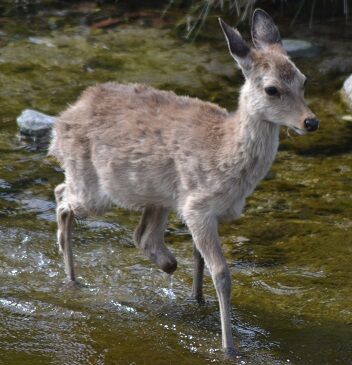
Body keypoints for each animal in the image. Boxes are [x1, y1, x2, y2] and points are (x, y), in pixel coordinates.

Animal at [48, 8, 320, 356]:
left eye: (303, 80)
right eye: (271, 89)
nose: (310, 121)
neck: (227, 153)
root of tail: (61, 121)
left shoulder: (202, 210)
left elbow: (198, 259)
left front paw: (197, 300)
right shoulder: (197, 207)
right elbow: (222, 274)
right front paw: (228, 347)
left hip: (156, 196)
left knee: (139, 233)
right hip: (95, 191)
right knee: (62, 197)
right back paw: (72, 278)